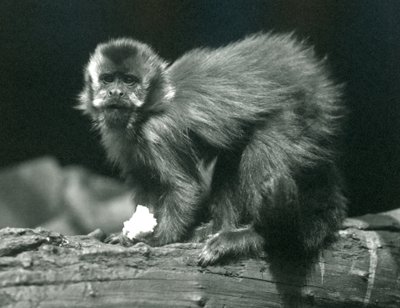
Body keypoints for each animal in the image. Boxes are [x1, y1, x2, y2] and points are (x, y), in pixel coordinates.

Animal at [79, 33, 346, 264]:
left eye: (129, 81)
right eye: (108, 79)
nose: (116, 92)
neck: (149, 108)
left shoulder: (159, 131)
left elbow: (185, 188)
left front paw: (157, 239)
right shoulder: (120, 140)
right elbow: (147, 186)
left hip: (299, 114)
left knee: (262, 148)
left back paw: (258, 235)